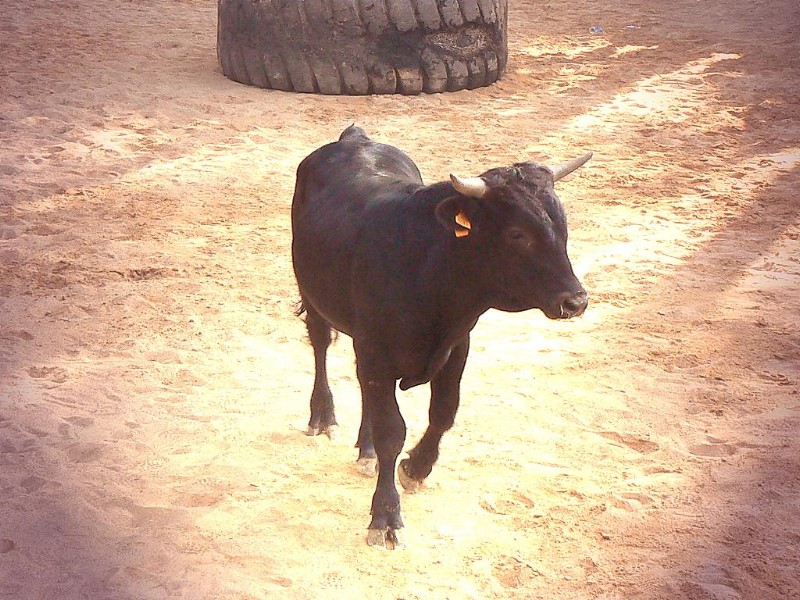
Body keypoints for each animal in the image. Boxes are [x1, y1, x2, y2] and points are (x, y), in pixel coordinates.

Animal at [291, 125, 590, 548]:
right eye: (517, 233)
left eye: (562, 226)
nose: (575, 300)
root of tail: (354, 137)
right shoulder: (376, 351)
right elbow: (391, 431)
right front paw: (386, 516)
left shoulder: (456, 346)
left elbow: (443, 413)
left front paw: (416, 468)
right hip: (312, 293)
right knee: (320, 344)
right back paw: (323, 417)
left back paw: (365, 449)